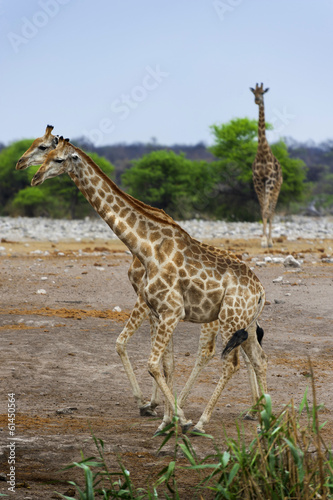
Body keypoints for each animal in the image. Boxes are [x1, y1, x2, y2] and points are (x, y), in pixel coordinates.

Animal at [16, 127, 262, 428]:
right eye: (46, 152)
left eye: (56, 157)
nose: (31, 175)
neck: (145, 246)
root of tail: (261, 290)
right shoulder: (160, 311)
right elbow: (165, 364)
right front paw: (167, 418)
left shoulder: (168, 310)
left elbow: (147, 359)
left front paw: (169, 413)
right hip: (243, 324)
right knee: (257, 358)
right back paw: (261, 412)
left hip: (227, 321)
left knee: (228, 361)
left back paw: (202, 421)